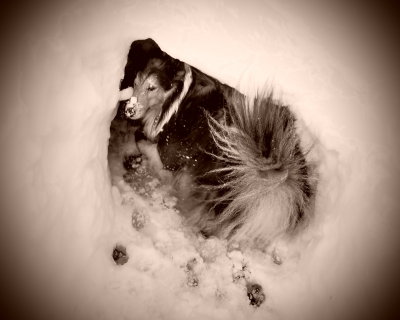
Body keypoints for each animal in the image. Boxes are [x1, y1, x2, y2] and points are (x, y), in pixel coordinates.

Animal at [113, 38, 316, 248]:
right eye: (135, 83)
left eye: (152, 87)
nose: (128, 110)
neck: (177, 99)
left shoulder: (169, 157)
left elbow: (140, 139)